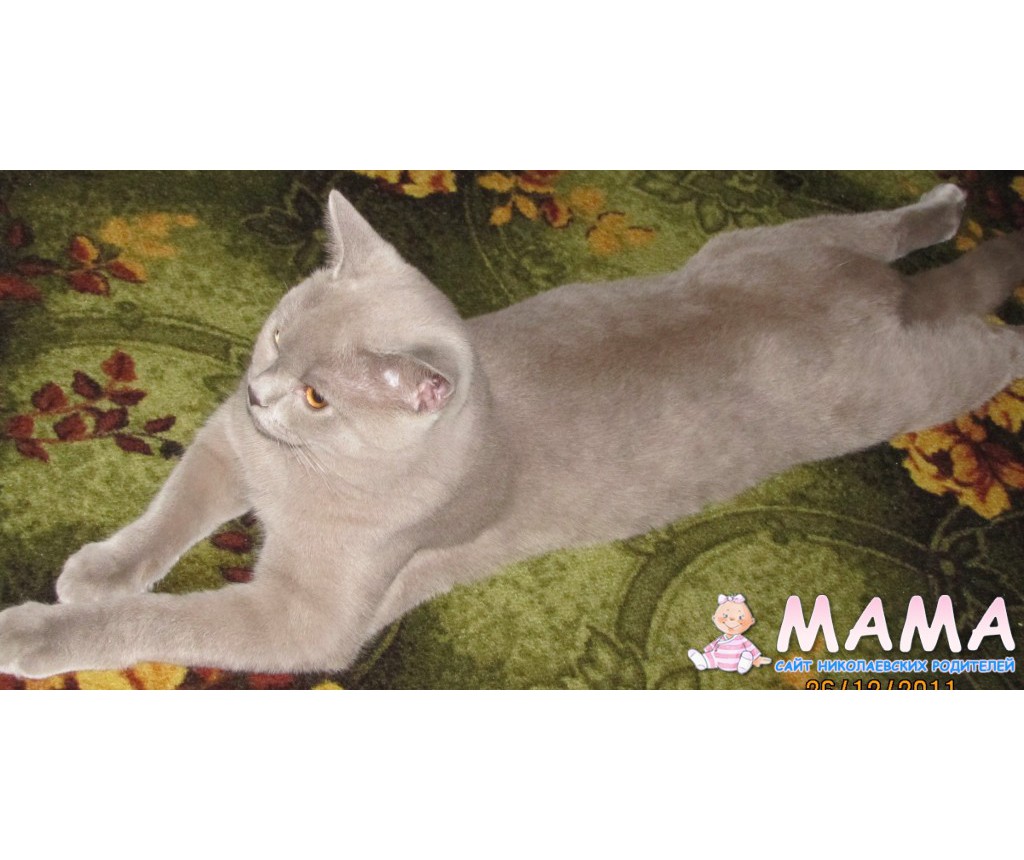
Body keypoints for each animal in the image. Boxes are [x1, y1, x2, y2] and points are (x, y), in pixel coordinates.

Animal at [2, 183, 1024, 679]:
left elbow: (154, 619)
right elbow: (166, 518)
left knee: (988, 344)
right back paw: (945, 206)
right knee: (882, 228)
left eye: (322, 398)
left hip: (907, 388)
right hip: (768, 242)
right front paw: (98, 568)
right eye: (280, 333)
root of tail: (889, 296)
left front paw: (39, 633)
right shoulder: (226, 443)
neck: (302, 473)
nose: (260, 389)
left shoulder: (302, 616)